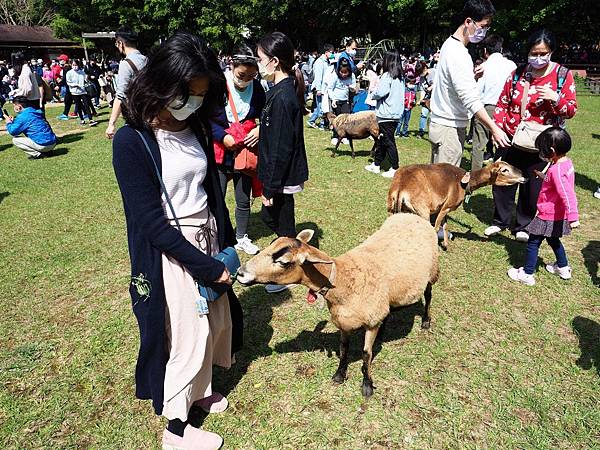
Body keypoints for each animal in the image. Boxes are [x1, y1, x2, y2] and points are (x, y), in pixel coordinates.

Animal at [237, 214, 438, 398]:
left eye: (283, 262)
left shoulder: (370, 323)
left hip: (432, 271)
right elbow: (343, 349)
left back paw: (426, 322)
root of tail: (412, 215)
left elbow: (366, 354)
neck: (342, 279)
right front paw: (339, 375)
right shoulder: (344, 322)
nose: (240, 273)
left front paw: (367, 385)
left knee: (428, 295)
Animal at [386, 161, 524, 248]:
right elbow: (437, 227)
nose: (523, 176)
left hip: (391, 207)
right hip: (422, 209)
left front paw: (446, 244)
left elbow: (445, 225)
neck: (464, 182)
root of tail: (401, 188)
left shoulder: (443, 207)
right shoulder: (447, 206)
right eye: (504, 170)